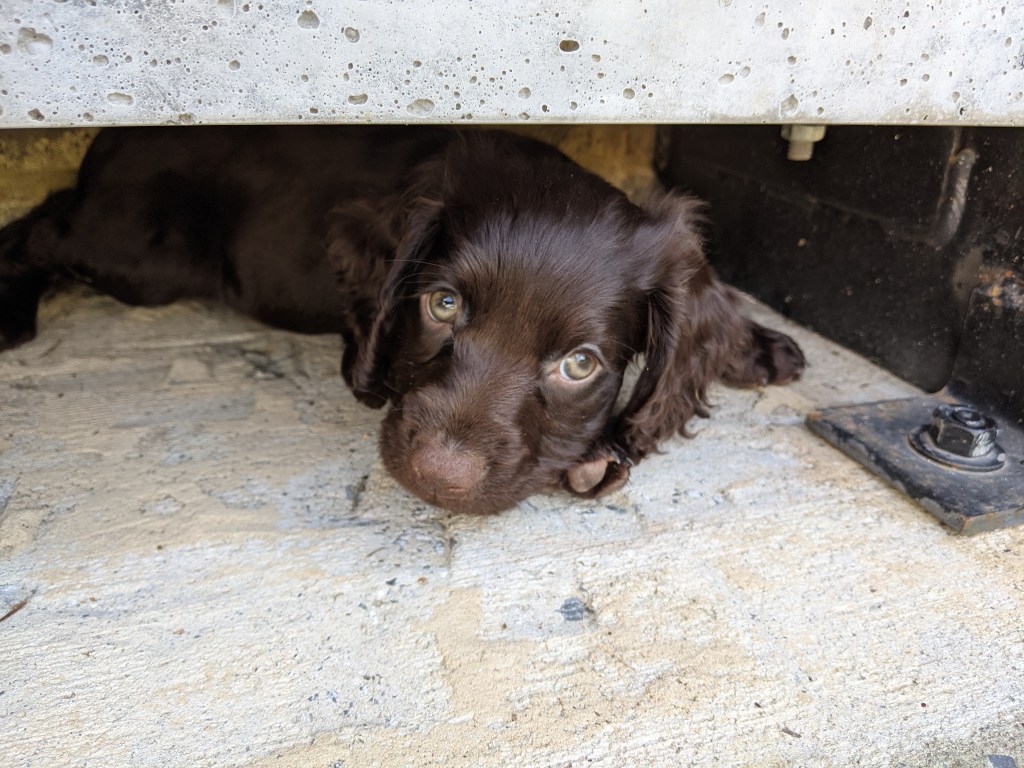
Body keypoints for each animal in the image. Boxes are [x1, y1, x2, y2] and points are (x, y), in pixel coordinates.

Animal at [0, 126, 805, 513]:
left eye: (579, 364)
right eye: (442, 305)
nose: (438, 478)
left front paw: (752, 344)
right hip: (141, 257)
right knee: (41, 225)